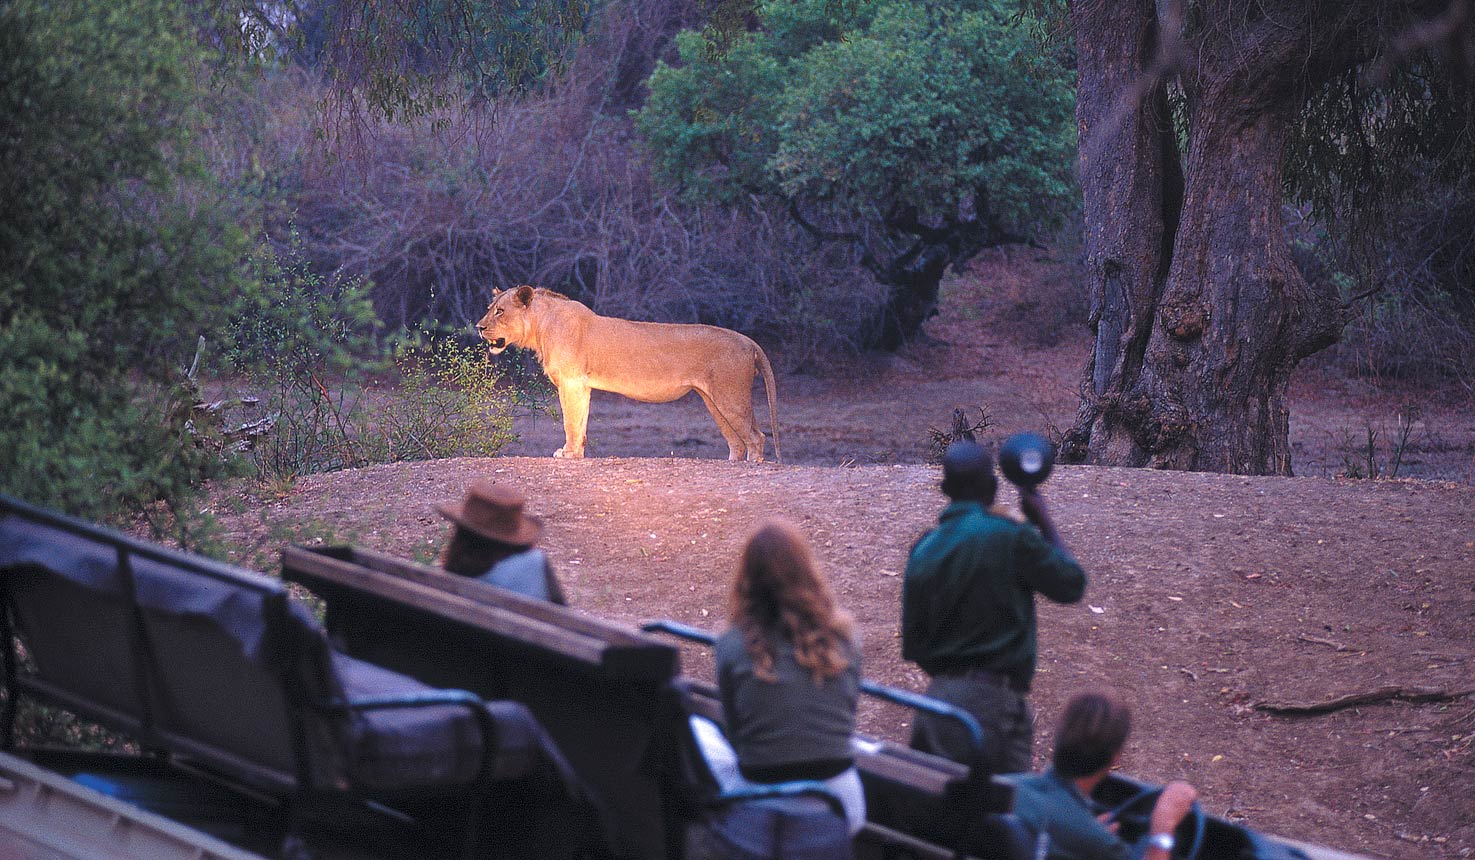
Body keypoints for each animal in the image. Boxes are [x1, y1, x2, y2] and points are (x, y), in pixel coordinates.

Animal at [480, 287, 784, 463]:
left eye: (500, 311)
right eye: (489, 309)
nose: (479, 327)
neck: (541, 326)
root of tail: (749, 342)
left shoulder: (571, 382)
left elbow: (570, 422)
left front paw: (567, 454)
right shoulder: (581, 386)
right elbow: (581, 422)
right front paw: (577, 453)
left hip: (730, 397)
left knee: (757, 437)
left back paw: (753, 465)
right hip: (713, 401)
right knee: (737, 441)